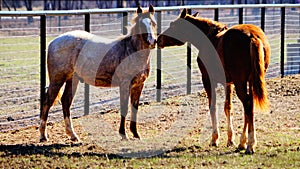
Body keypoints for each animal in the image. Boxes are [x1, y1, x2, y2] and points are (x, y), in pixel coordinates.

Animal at [39, 5, 157, 142]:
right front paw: (123, 134)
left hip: (72, 79)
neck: (131, 51)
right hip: (57, 79)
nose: (152, 41)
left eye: (154, 23)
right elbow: (124, 107)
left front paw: (136, 134)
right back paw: (43, 136)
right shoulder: (125, 84)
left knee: (66, 101)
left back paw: (73, 135)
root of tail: (53, 42)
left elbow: (135, 108)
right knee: (47, 101)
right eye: (141, 24)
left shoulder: (138, 85)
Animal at [158, 9, 270, 154]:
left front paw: (214, 138)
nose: (158, 39)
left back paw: (250, 144)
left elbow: (213, 107)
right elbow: (228, 107)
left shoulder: (208, 80)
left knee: (247, 104)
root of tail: (252, 36)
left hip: (240, 82)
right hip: (250, 81)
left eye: (173, 24)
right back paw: (243, 143)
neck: (210, 38)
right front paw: (231, 140)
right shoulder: (229, 83)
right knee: (249, 106)